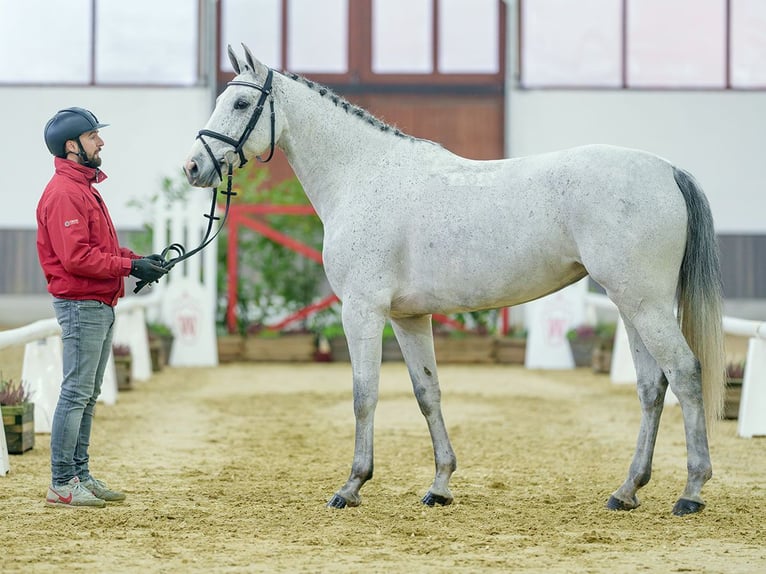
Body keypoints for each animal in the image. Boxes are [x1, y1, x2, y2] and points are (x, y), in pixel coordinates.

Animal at [184, 47, 728, 520]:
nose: (193, 167)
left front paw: (352, 485)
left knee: (685, 374)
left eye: (240, 102)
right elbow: (428, 393)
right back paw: (627, 490)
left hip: (645, 304)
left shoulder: (362, 310)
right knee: (652, 387)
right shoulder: (408, 317)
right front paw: (440, 485)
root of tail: (666, 170)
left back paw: (691, 491)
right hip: (631, 304)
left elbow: (364, 395)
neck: (362, 175)